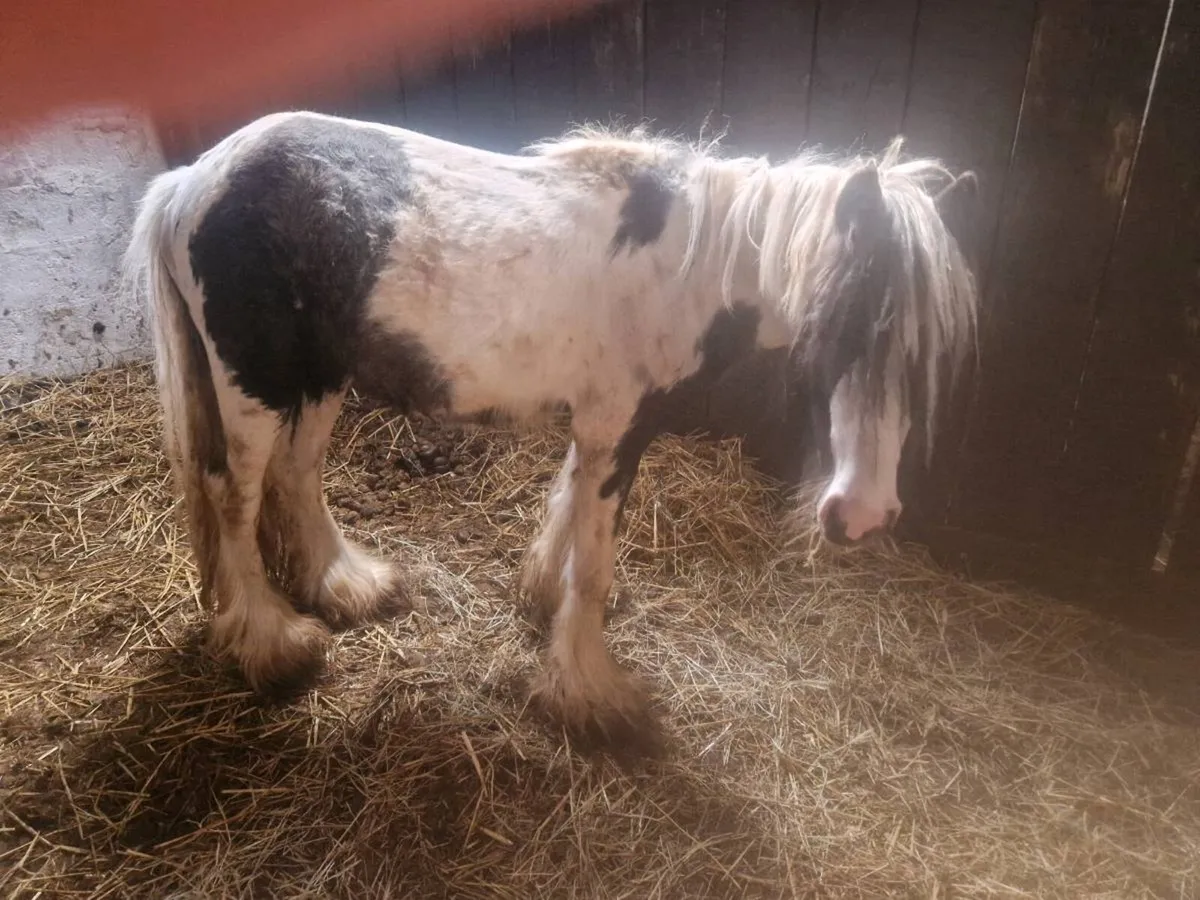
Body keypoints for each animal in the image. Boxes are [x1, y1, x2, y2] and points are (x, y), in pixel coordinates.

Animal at [123, 110, 978, 750]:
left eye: (924, 353)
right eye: (842, 326)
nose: (862, 516)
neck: (689, 267)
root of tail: (192, 180)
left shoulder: (601, 424)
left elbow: (568, 509)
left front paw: (541, 601)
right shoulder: (617, 425)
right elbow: (593, 563)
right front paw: (592, 695)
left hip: (319, 378)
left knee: (296, 476)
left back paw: (350, 587)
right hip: (255, 389)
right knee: (233, 499)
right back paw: (275, 645)